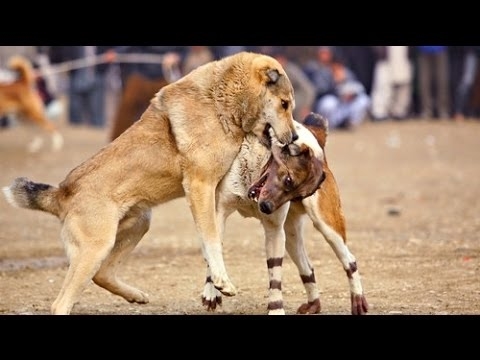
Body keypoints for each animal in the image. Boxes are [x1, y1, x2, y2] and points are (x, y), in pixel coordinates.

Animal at [1, 51, 298, 316]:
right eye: (285, 104)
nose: (295, 137)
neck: (220, 101)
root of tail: (62, 192)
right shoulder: (200, 186)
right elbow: (211, 239)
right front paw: (221, 282)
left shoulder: (213, 192)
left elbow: (211, 239)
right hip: (95, 248)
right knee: (61, 303)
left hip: (139, 223)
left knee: (103, 274)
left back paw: (136, 296)